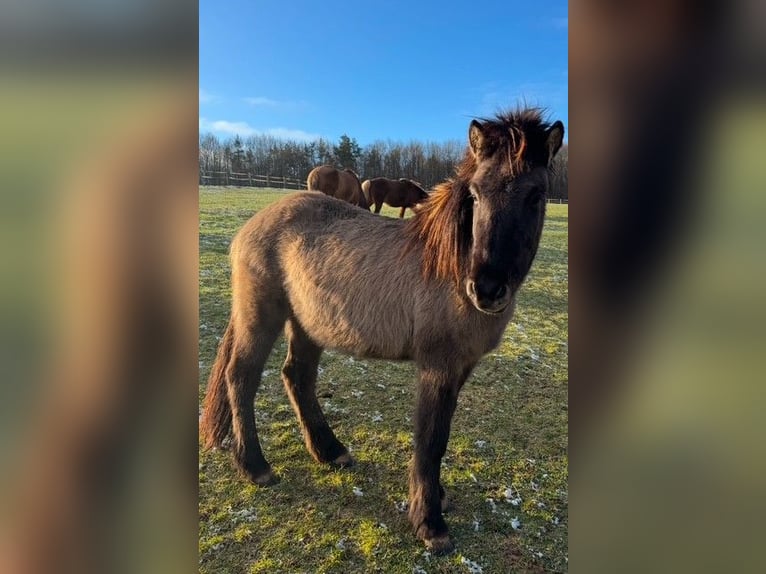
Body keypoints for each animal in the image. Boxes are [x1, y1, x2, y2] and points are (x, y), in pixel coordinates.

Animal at [201, 110, 568, 556]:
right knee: (241, 376)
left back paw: (331, 451)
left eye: (536, 196)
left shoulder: (461, 367)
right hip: (261, 316)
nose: (487, 289)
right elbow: (431, 438)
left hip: (307, 323)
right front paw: (430, 523)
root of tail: (252, 226)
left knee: (297, 377)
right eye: (476, 194)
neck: (450, 268)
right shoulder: (437, 367)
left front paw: (435, 498)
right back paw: (255, 467)